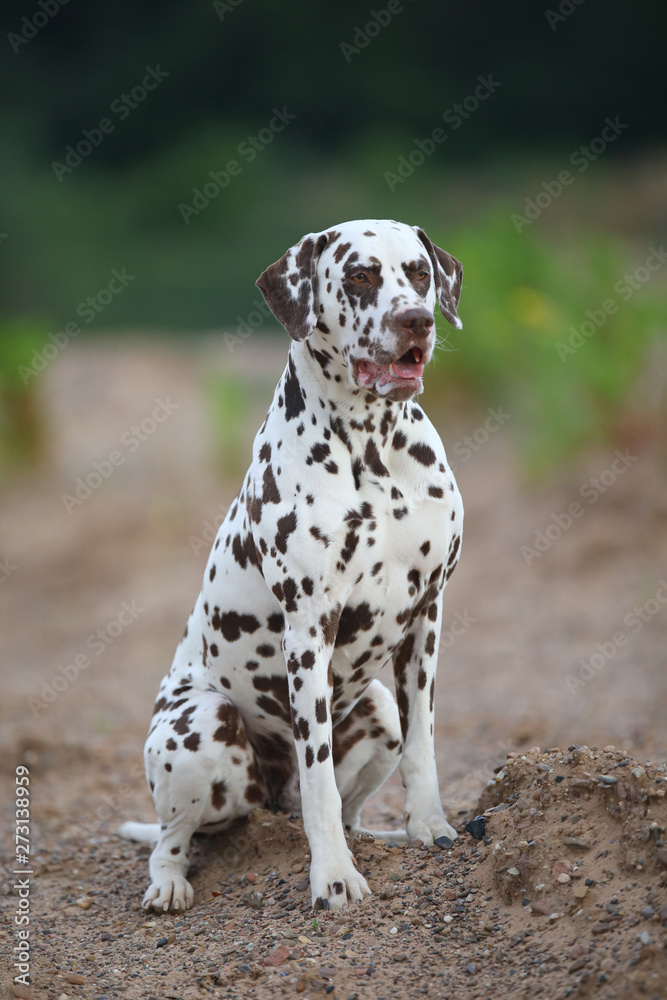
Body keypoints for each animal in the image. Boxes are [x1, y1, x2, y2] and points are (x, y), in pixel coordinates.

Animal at [121, 219, 464, 916]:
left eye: (419, 273)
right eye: (359, 275)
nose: (416, 319)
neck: (375, 452)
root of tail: (263, 798)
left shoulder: (426, 616)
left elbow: (423, 747)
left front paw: (430, 827)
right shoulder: (309, 629)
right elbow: (319, 782)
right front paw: (332, 875)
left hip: (380, 709)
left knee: (354, 802)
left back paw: (379, 837)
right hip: (199, 728)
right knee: (173, 837)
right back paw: (169, 882)